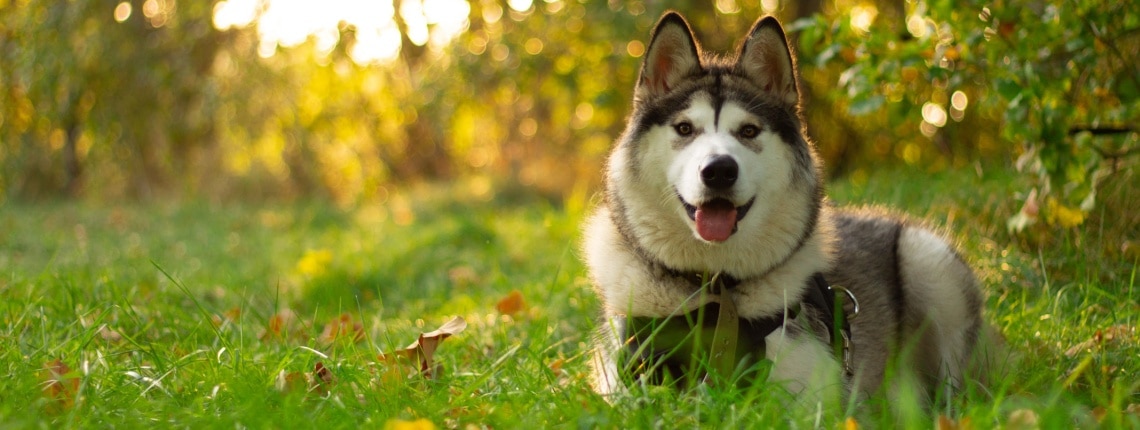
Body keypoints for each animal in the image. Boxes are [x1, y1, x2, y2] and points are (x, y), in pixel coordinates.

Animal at [583, 12, 984, 401]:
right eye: (684, 128)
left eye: (748, 131)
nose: (719, 170)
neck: (718, 290)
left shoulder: (814, 398)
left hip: (929, 262)